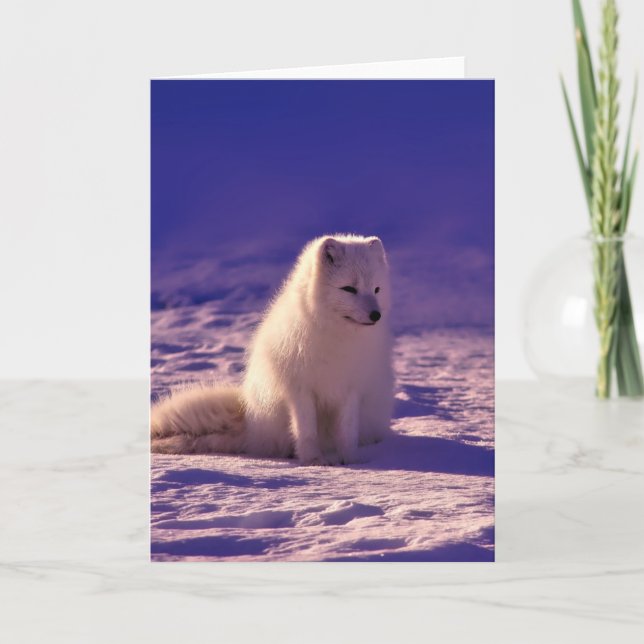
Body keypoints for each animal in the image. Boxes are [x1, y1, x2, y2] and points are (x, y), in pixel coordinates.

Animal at [151, 234, 394, 465]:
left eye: (376, 289)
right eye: (349, 289)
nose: (376, 315)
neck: (337, 338)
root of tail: (251, 425)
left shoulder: (351, 389)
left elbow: (347, 431)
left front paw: (351, 461)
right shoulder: (300, 389)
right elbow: (306, 431)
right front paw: (314, 461)